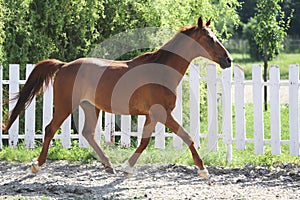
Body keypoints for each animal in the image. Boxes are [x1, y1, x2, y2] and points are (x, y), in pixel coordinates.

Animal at [4, 16, 232, 177]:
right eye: (209, 39)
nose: (228, 60)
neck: (161, 69)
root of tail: (64, 66)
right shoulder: (163, 114)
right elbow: (188, 137)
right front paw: (203, 170)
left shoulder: (152, 115)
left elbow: (144, 141)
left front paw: (127, 168)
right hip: (65, 106)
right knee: (50, 129)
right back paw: (36, 165)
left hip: (90, 107)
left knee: (88, 133)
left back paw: (108, 165)